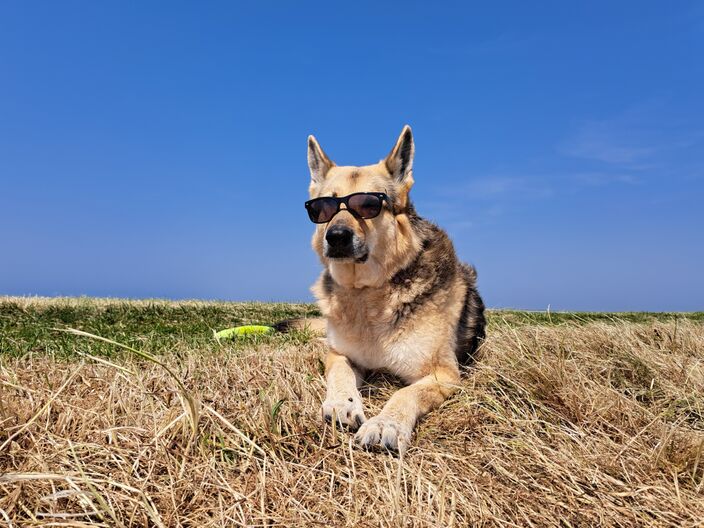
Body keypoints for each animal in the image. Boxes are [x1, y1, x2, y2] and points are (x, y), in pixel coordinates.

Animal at [280, 126, 484, 452]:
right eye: (322, 208)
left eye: (368, 205)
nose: (336, 237)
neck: (367, 293)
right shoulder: (338, 354)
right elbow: (340, 373)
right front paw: (342, 403)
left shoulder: (444, 375)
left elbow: (406, 393)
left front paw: (386, 423)